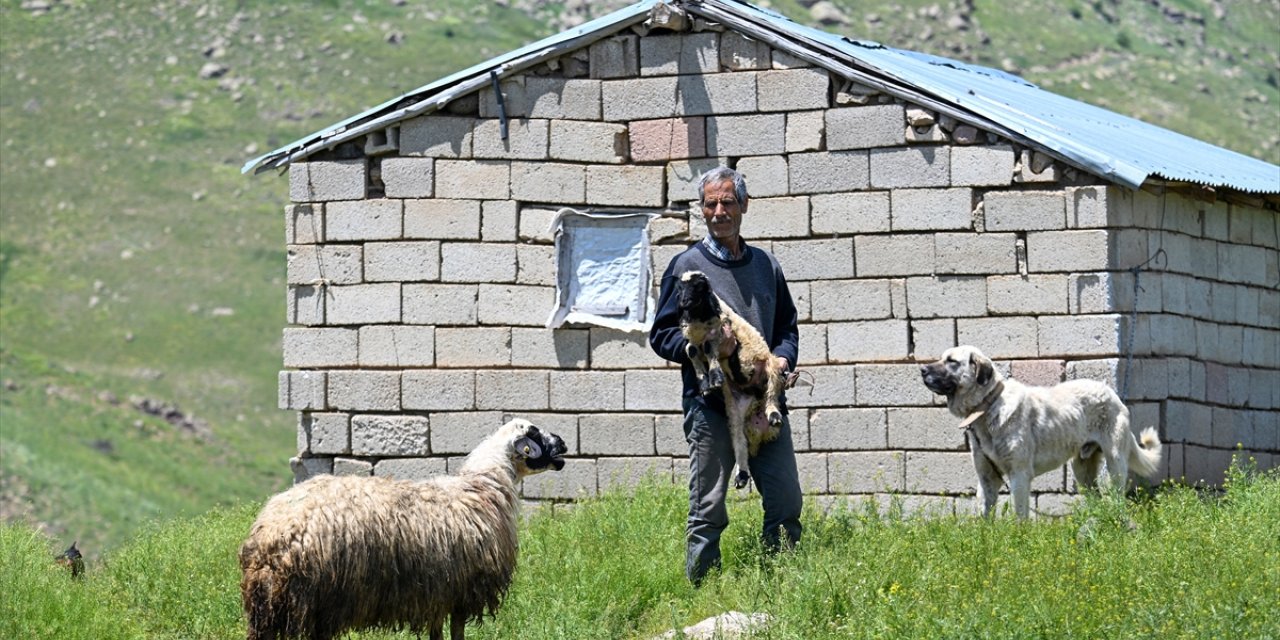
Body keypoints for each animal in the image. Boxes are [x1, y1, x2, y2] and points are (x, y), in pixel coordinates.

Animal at [239, 417, 565, 637]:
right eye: (534, 432)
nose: (562, 443)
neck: (483, 486)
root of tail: (271, 537)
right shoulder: (463, 590)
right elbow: (456, 633)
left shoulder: (437, 593)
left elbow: (437, 634)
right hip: (318, 599)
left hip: (269, 609)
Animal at [675, 270, 783, 488]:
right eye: (680, 287)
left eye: (698, 287)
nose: (683, 302)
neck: (698, 316)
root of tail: (755, 398)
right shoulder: (691, 339)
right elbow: (691, 351)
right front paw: (705, 383)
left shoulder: (721, 331)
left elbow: (709, 348)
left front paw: (715, 376)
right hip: (734, 410)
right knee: (739, 440)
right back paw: (741, 475)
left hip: (771, 366)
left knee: (772, 394)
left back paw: (774, 415)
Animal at [921, 348, 1162, 517]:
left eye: (951, 361)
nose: (922, 370)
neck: (989, 405)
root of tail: (1111, 393)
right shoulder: (987, 478)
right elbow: (983, 517)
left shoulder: (1019, 475)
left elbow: (1020, 516)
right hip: (1082, 470)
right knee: (1097, 498)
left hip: (1115, 464)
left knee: (1117, 498)